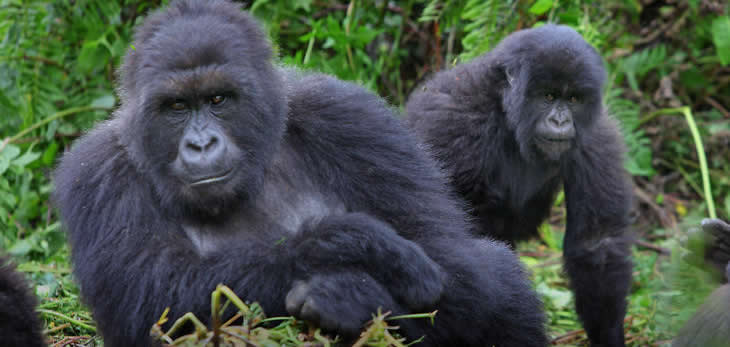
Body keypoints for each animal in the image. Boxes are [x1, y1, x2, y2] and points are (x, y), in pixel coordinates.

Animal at [52, 0, 544, 347]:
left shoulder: (353, 119)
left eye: (218, 100)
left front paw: (354, 295)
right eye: (176, 107)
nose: (201, 144)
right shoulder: (96, 174)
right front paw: (346, 244)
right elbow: (148, 301)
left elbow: (452, 256)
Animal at [404, 23, 632, 346]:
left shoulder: (598, 136)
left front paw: (609, 335)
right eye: (548, 96)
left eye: (573, 99)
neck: (505, 110)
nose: (560, 121)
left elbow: (597, 242)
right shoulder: (453, 123)